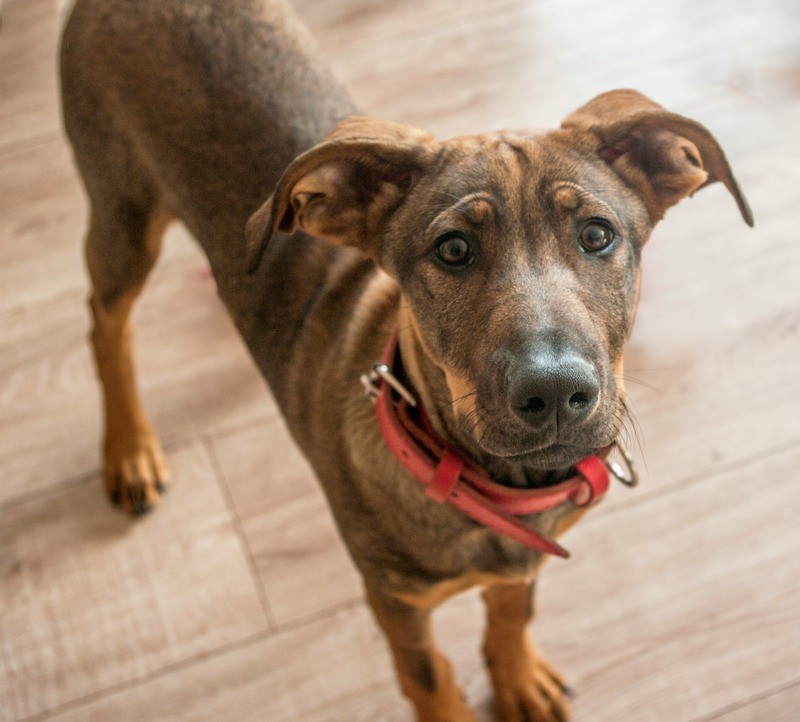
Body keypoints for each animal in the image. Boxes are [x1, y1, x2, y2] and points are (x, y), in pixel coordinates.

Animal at [61, 2, 752, 716]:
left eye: (596, 235)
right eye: (452, 250)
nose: (556, 392)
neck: (494, 485)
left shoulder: (520, 559)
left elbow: (514, 608)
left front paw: (516, 677)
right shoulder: (393, 600)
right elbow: (426, 676)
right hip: (121, 214)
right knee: (104, 324)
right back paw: (129, 450)